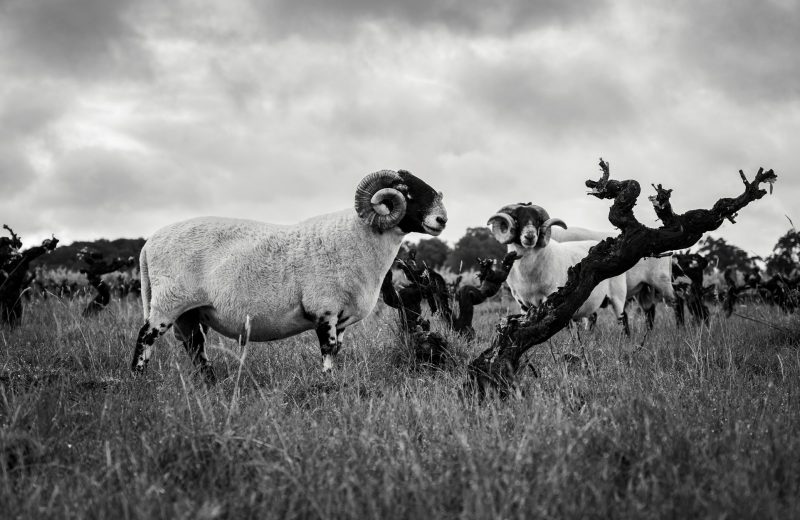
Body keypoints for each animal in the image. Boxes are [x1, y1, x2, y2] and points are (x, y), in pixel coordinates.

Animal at [128, 170, 446, 382]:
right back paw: (138, 379)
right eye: (405, 190)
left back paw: (210, 383)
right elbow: (328, 350)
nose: (442, 219)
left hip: (190, 312)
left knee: (195, 347)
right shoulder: (324, 310)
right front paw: (327, 385)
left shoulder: (342, 318)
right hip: (169, 302)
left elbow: (337, 350)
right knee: (146, 336)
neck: (358, 237)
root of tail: (149, 243)